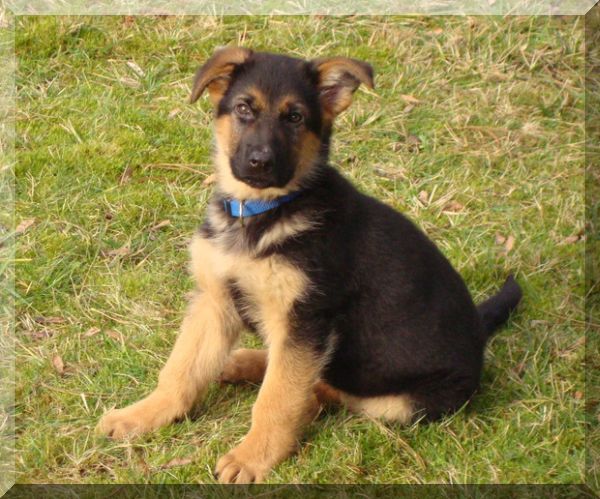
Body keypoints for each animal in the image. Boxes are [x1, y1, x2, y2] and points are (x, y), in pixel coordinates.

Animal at [97, 47, 522, 483]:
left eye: (295, 117)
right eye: (244, 108)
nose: (260, 162)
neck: (261, 212)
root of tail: (479, 331)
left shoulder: (305, 319)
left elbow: (278, 397)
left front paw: (253, 457)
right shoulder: (214, 300)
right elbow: (181, 369)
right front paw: (143, 414)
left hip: (405, 402)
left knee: (323, 389)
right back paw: (243, 361)